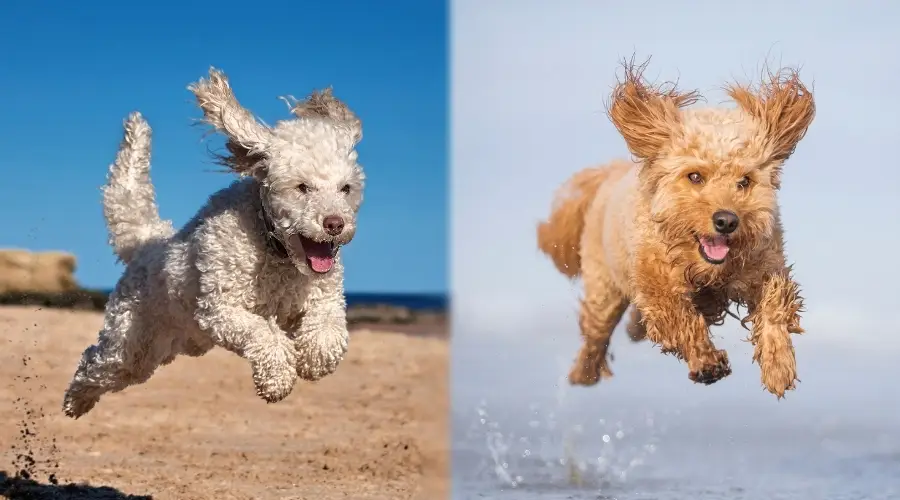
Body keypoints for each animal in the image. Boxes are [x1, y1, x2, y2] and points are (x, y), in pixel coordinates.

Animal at [62, 67, 366, 418]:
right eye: (302, 187)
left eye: (346, 188)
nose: (335, 224)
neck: (275, 251)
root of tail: (147, 243)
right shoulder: (220, 309)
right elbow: (263, 333)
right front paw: (277, 378)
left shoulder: (324, 297)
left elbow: (329, 328)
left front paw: (314, 358)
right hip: (127, 343)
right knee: (94, 362)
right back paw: (76, 400)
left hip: (162, 348)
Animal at [536, 58, 820, 398]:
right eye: (695, 176)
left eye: (745, 181)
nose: (726, 221)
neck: (707, 269)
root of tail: (611, 173)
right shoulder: (657, 283)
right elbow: (680, 318)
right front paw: (707, 362)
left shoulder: (764, 265)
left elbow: (774, 305)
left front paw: (778, 365)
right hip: (603, 287)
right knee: (596, 334)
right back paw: (585, 373)